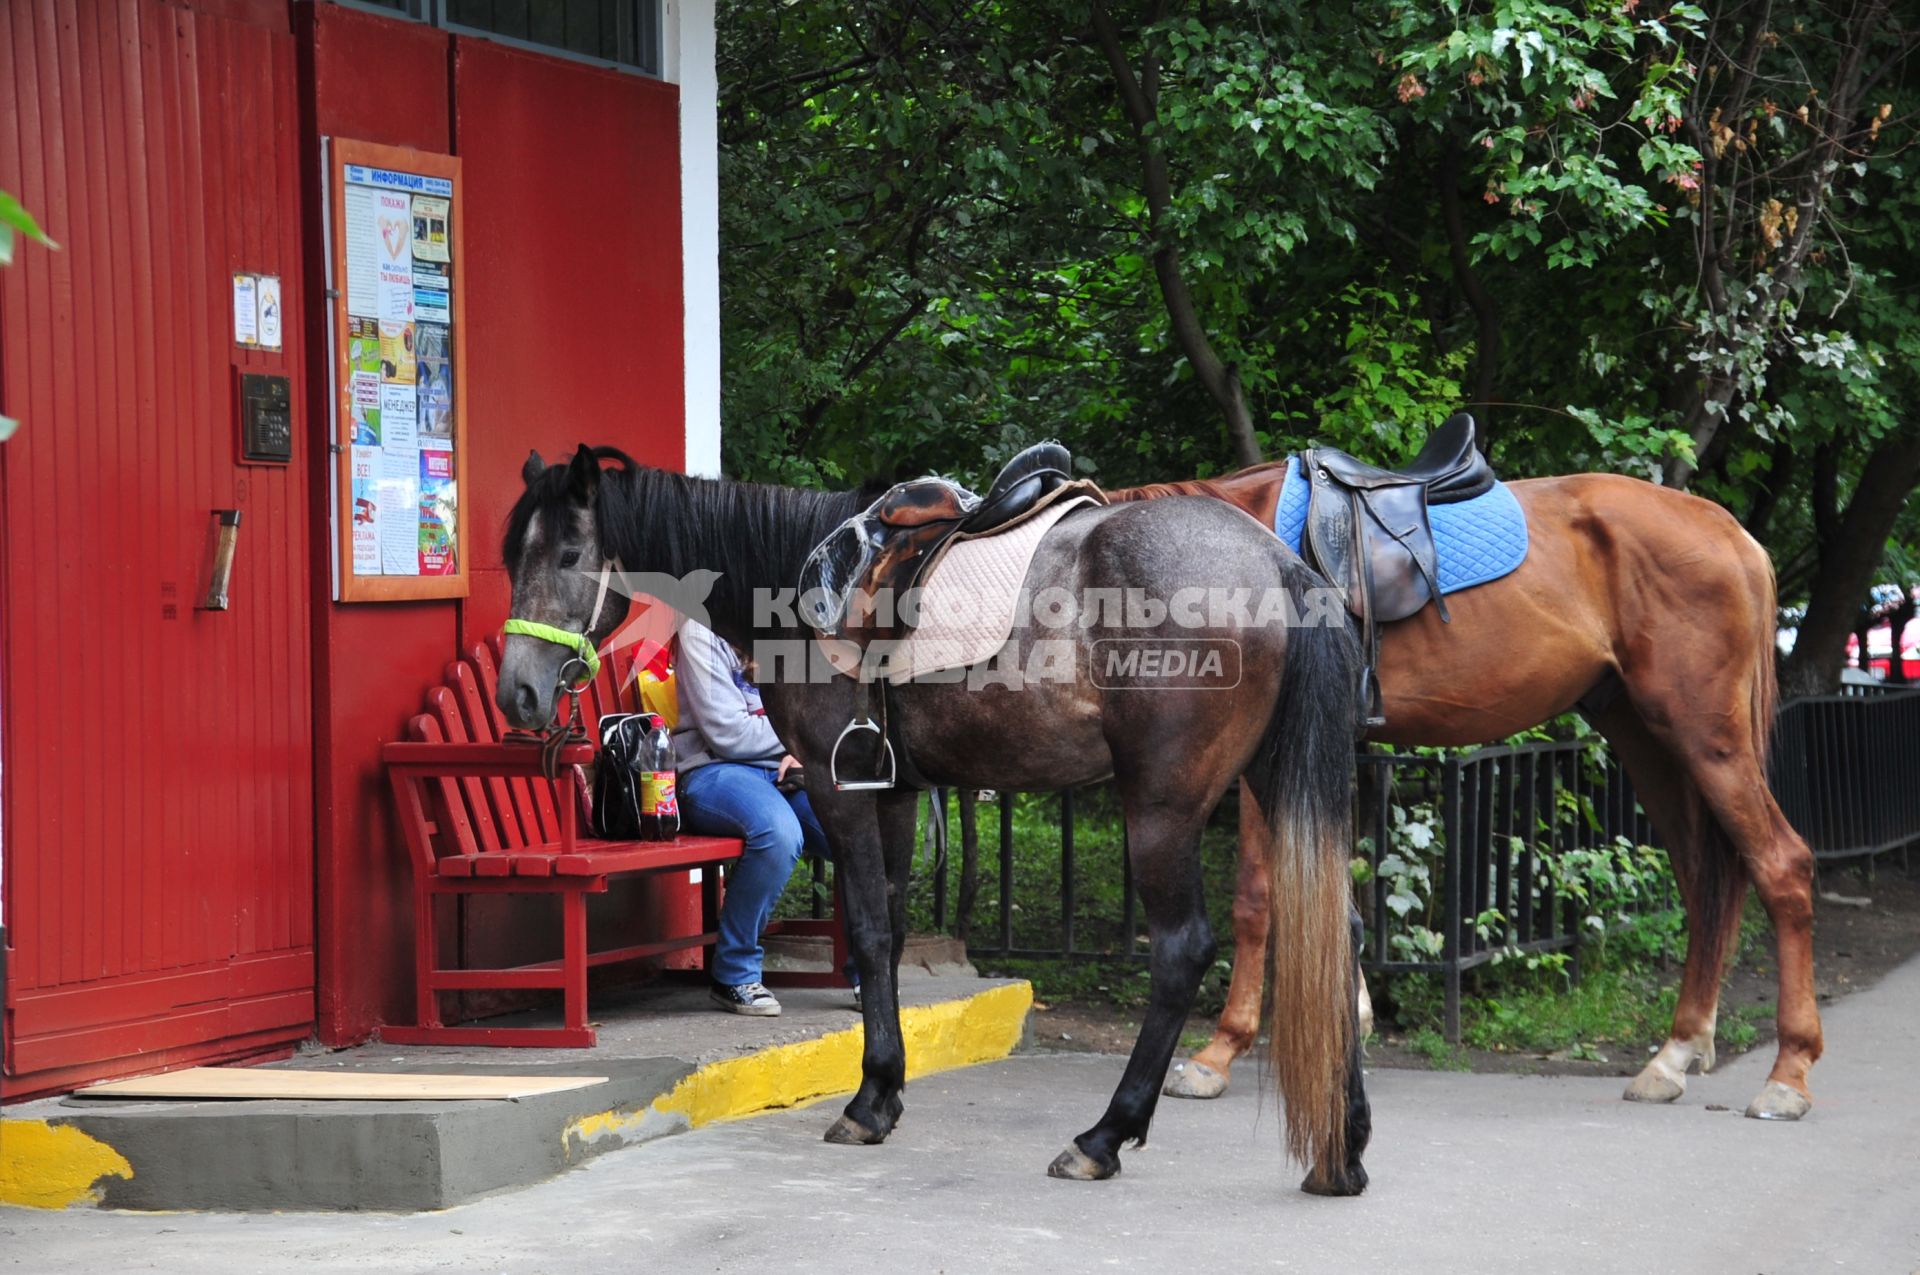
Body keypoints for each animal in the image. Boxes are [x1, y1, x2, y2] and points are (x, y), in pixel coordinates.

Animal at [1113, 462, 1812, 1121]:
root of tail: (1733, 534)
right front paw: (1351, 1015)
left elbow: (1259, 899)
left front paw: (1219, 1052)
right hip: (1647, 740)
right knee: (1703, 882)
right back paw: (1676, 1054)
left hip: (1707, 740)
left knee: (1783, 866)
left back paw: (1788, 1073)